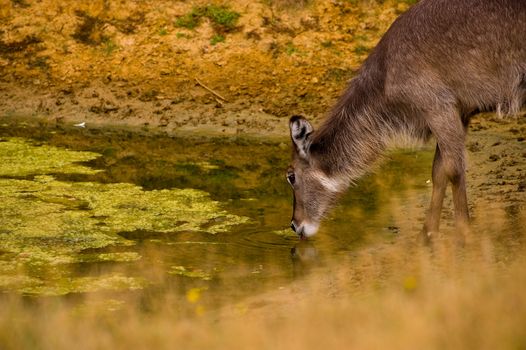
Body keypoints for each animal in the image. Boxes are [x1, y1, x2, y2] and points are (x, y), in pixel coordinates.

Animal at [288, 0, 526, 238]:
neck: (384, 77)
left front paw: (463, 233)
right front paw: (427, 235)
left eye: (290, 176)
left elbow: (454, 170)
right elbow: (438, 170)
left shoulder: (439, 107)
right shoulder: (460, 113)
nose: (295, 225)